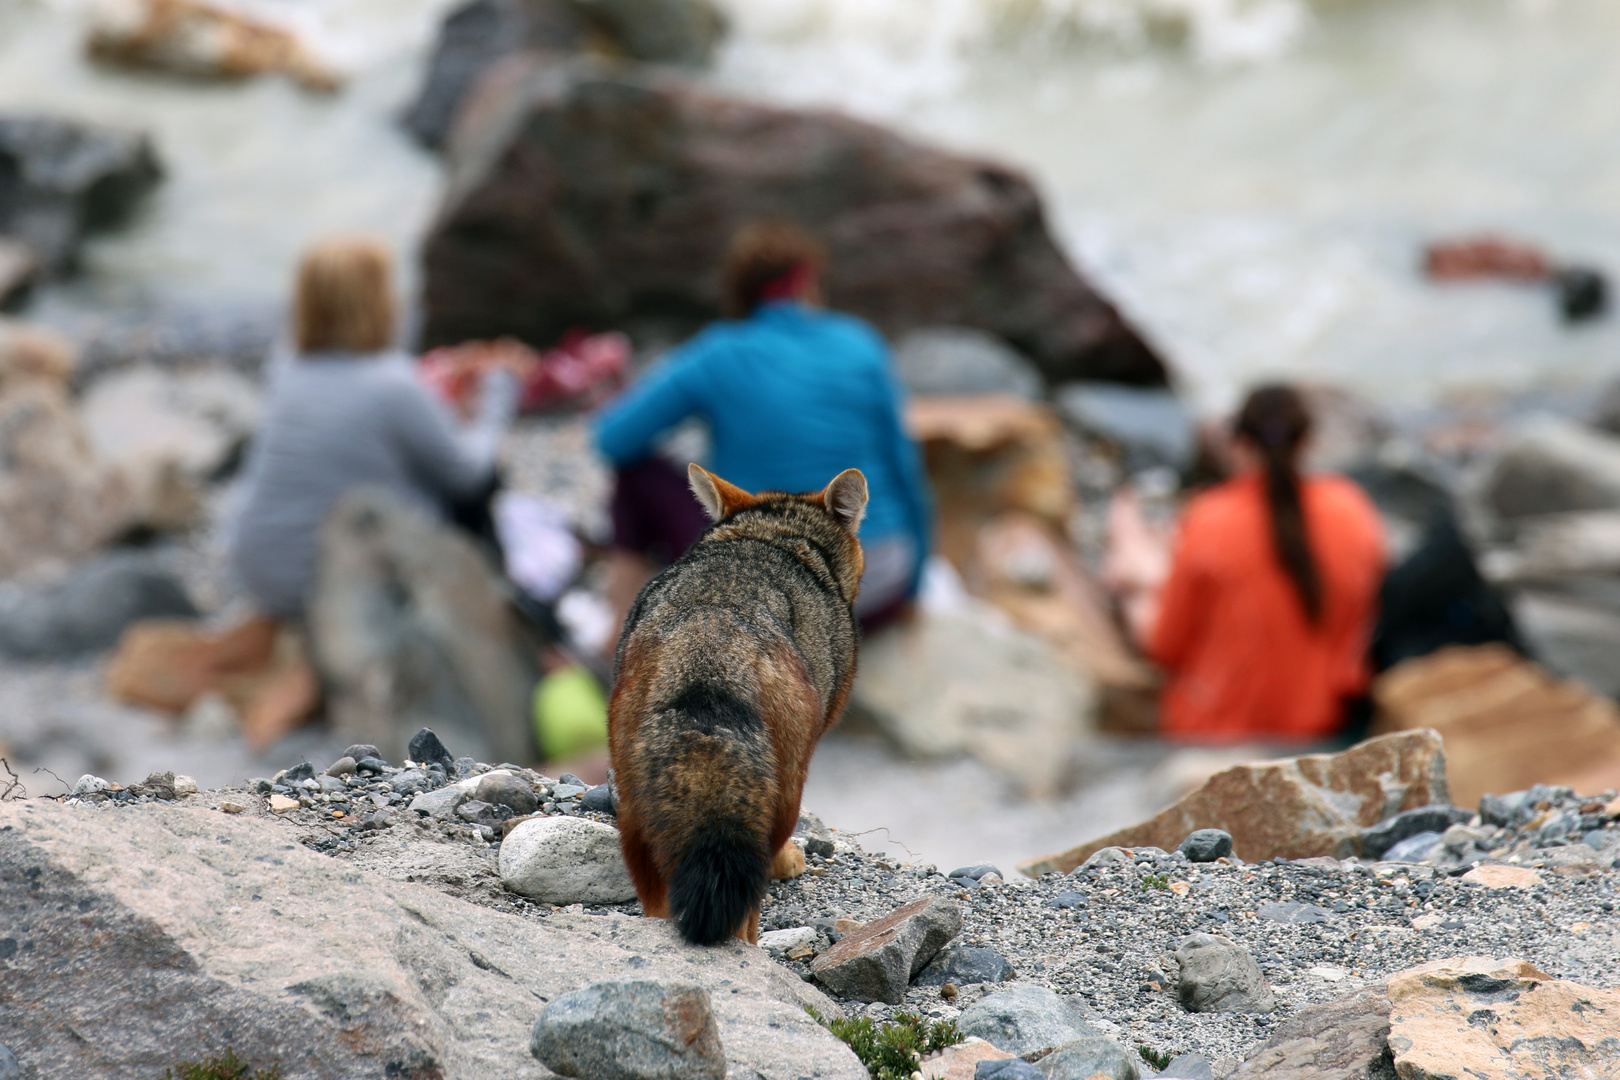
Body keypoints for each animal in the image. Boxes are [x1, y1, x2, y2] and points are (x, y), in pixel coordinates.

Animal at [609, 466, 868, 945]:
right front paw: (789, 862)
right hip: (783, 790)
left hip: (635, 810)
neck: (772, 537)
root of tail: (710, 633)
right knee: (748, 902)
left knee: (656, 900)